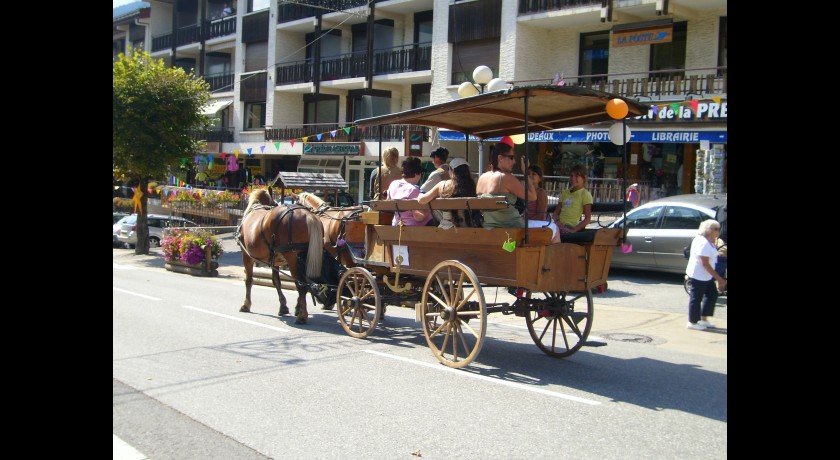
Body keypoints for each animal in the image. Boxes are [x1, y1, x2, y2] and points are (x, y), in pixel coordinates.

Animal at [240, 188, 328, 324]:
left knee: (301, 285)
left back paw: (302, 316)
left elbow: (249, 280)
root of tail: (308, 215)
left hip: (292, 258)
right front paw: (283, 306)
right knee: (305, 285)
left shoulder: (246, 255)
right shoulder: (274, 261)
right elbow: (276, 281)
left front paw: (246, 304)